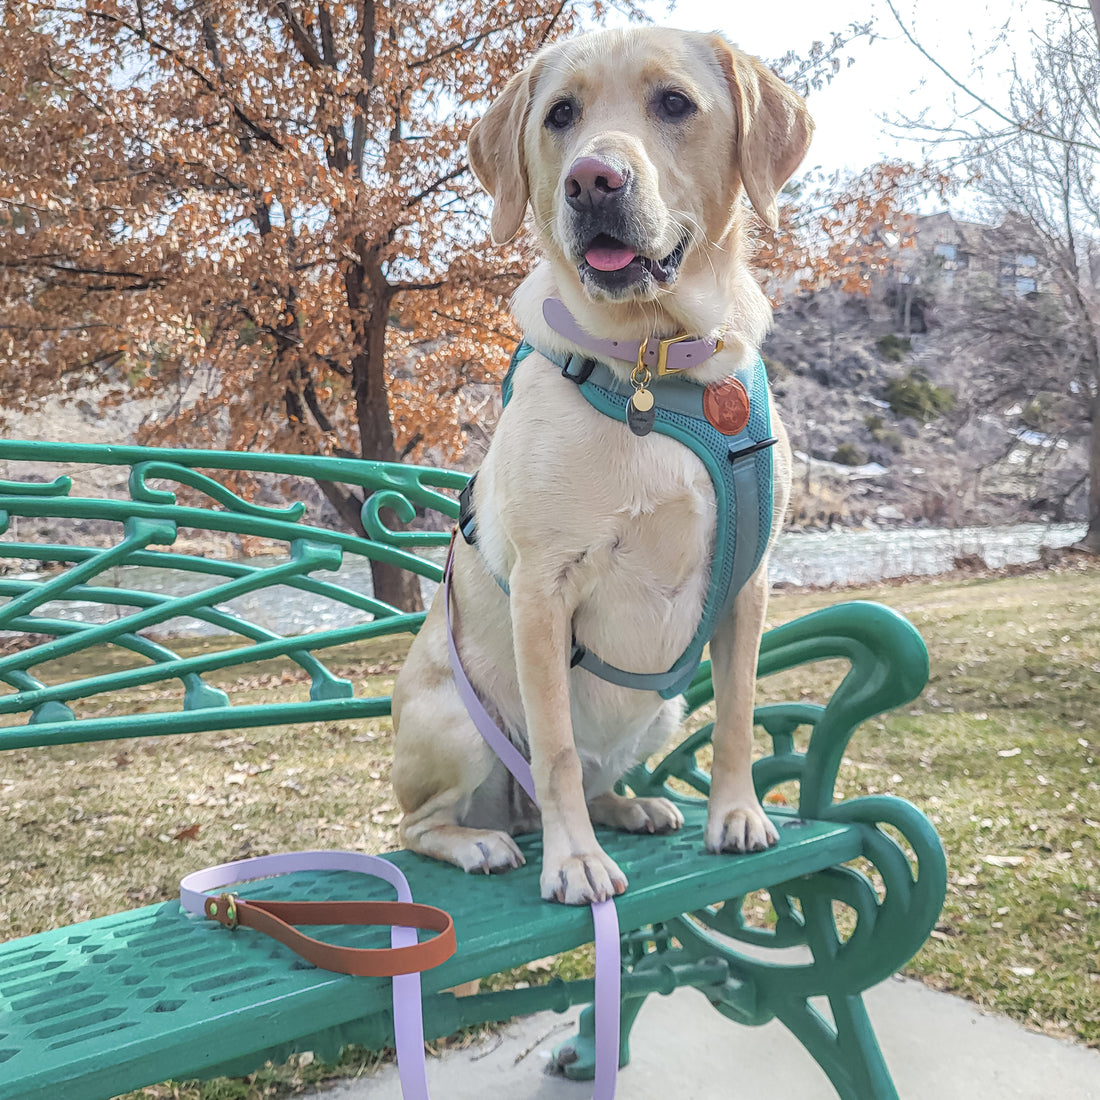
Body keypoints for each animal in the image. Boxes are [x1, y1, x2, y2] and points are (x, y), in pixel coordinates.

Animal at [391, 25, 814, 906]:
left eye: (675, 103)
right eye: (560, 114)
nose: (592, 179)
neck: (653, 362)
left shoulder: (750, 583)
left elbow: (738, 712)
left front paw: (737, 814)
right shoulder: (543, 590)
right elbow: (551, 748)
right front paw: (575, 862)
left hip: (659, 711)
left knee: (592, 778)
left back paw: (629, 806)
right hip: (455, 722)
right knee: (428, 821)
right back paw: (482, 842)